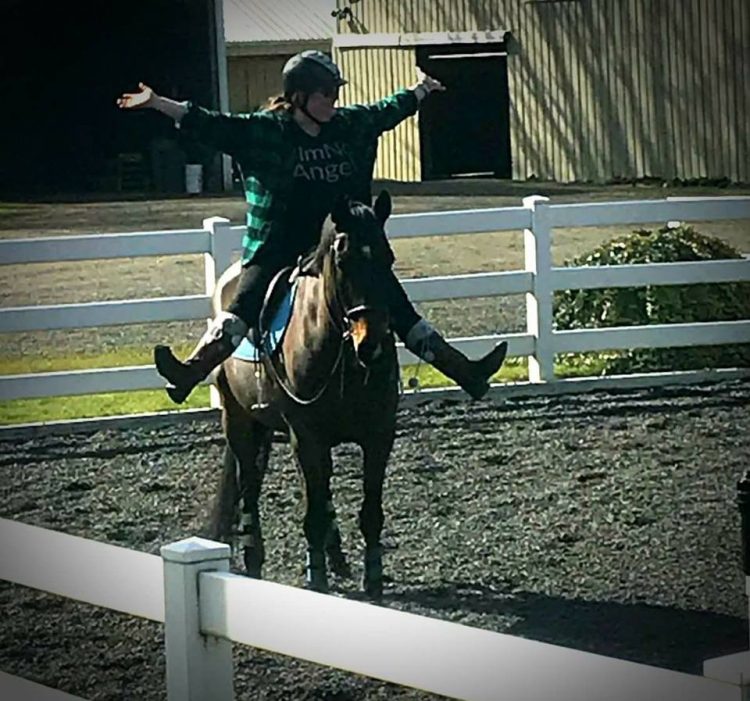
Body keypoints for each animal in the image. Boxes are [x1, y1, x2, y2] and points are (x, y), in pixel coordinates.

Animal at [206, 190, 402, 596]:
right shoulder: (306, 437)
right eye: (343, 261)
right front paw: (317, 578)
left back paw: (337, 556)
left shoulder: (379, 435)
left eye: (388, 258)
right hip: (238, 421)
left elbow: (370, 512)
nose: (372, 343)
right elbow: (311, 514)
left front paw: (372, 578)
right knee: (250, 486)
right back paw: (254, 557)